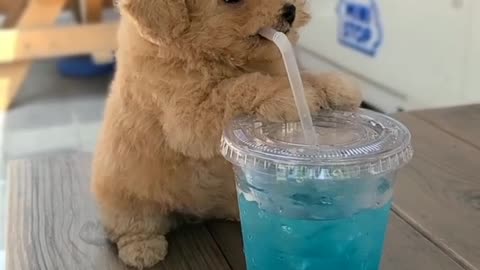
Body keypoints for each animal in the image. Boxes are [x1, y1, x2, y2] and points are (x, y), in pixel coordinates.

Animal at [91, 0, 360, 268]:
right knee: (133, 226)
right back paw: (142, 249)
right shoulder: (188, 116)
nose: (290, 10)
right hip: (127, 202)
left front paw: (335, 87)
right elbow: (239, 88)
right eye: (231, 1)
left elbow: (298, 75)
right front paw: (287, 96)